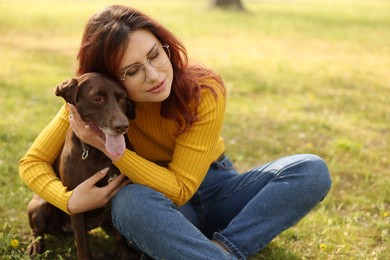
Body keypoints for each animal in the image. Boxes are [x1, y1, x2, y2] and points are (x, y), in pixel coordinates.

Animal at [26, 72, 139, 258]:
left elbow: (119, 238)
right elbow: (82, 243)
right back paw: (35, 246)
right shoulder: (77, 200)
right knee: (37, 231)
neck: (99, 154)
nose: (123, 126)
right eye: (97, 99)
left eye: (122, 98)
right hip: (40, 205)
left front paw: (124, 255)